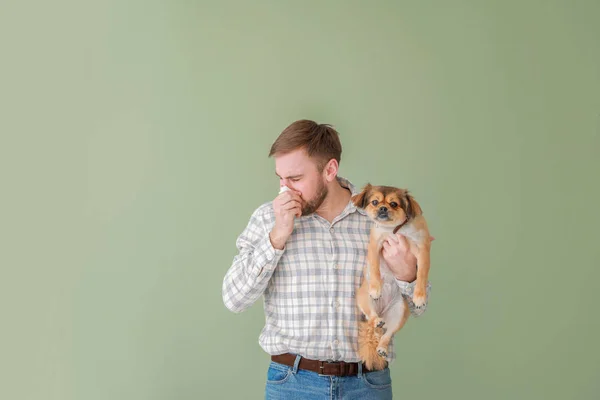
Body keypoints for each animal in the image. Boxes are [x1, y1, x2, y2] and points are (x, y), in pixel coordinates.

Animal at [352, 184, 432, 368]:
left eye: (394, 204)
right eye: (374, 202)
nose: (383, 208)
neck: (394, 230)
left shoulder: (422, 250)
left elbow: (421, 275)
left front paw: (419, 297)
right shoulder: (375, 245)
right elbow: (374, 268)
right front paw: (376, 288)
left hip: (399, 313)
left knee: (386, 335)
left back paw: (382, 347)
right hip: (364, 300)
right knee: (372, 317)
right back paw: (377, 319)